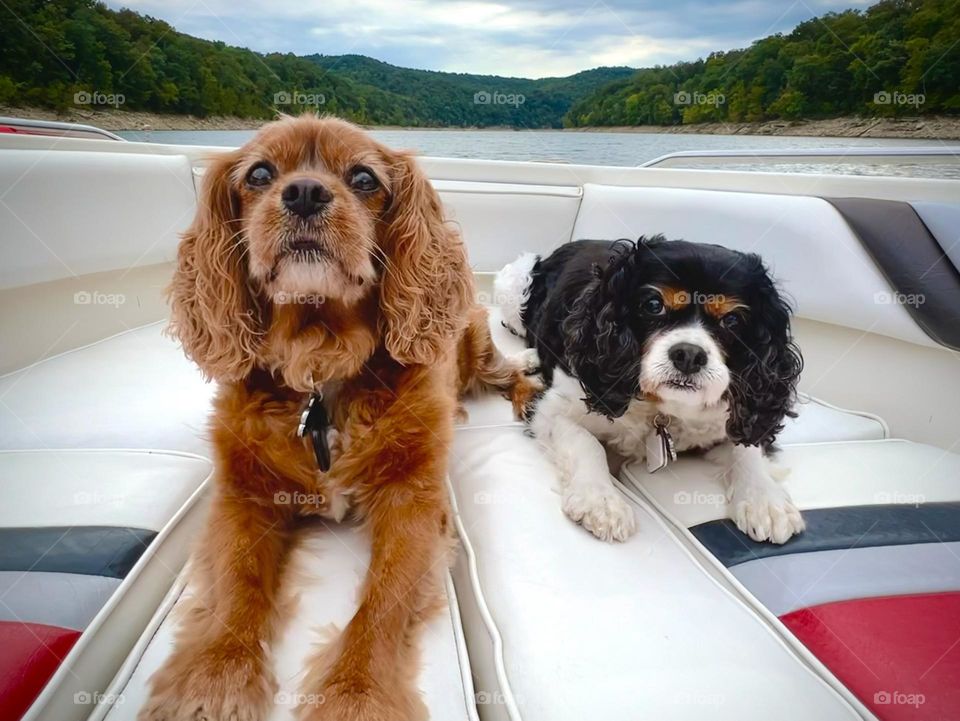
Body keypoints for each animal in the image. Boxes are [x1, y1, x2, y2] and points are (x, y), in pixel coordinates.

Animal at [139, 115, 536, 716]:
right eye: (259, 174)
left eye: (364, 178)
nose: (304, 191)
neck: (321, 366)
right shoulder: (243, 495)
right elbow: (238, 583)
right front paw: (216, 677)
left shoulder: (411, 502)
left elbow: (381, 601)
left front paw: (357, 692)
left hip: (477, 348)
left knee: (510, 373)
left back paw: (525, 395)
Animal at [498, 236, 808, 540]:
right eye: (653, 305)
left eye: (732, 320)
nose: (689, 355)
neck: (660, 406)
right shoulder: (551, 407)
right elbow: (586, 442)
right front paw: (601, 500)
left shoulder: (743, 417)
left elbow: (747, 448)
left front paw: (765, 500)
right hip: (516, 282)